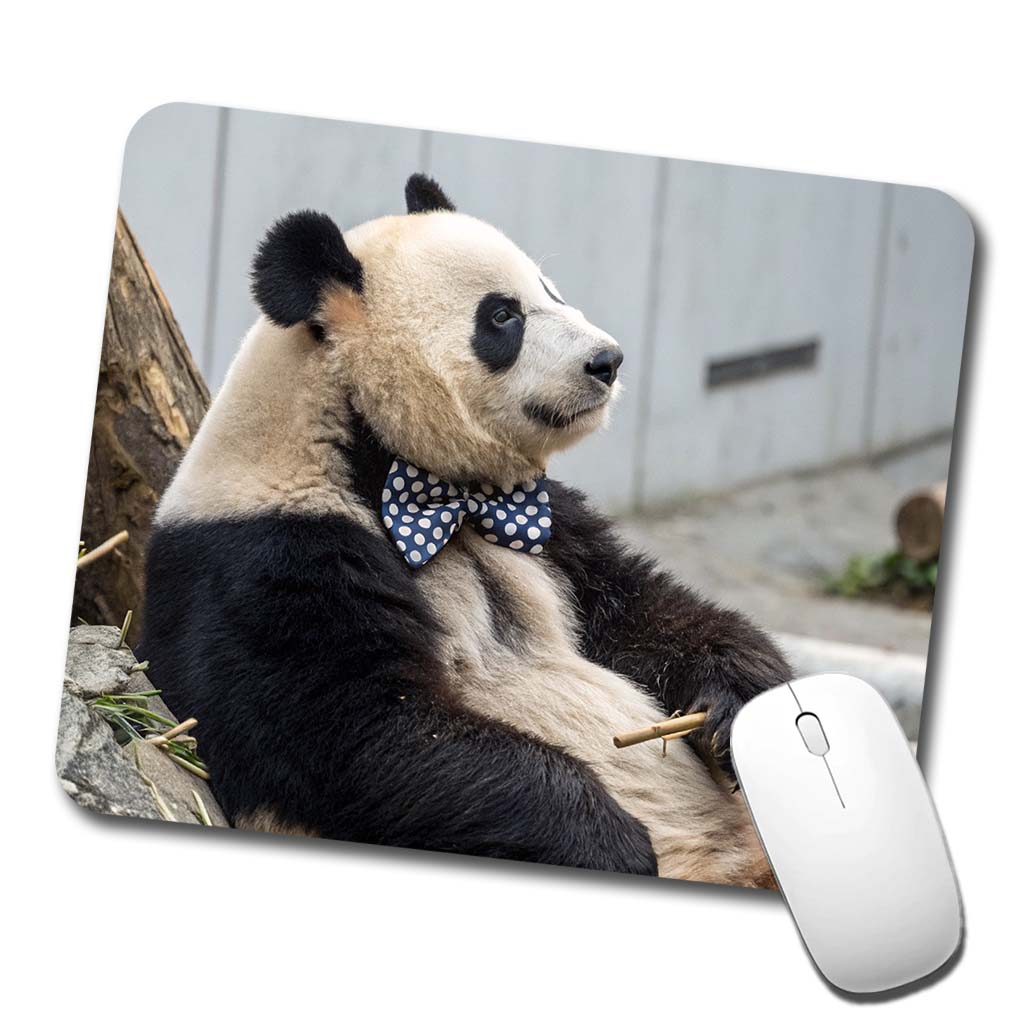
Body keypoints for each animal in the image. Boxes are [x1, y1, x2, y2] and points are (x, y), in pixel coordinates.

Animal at [141, 173, 790, 886]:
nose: (607, 360)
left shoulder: (550, 527)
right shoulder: (268, 558)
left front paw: (736, 708)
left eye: (550, 289)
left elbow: (643, 612)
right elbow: (367, 732)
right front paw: (614, 846)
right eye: (501, 317)